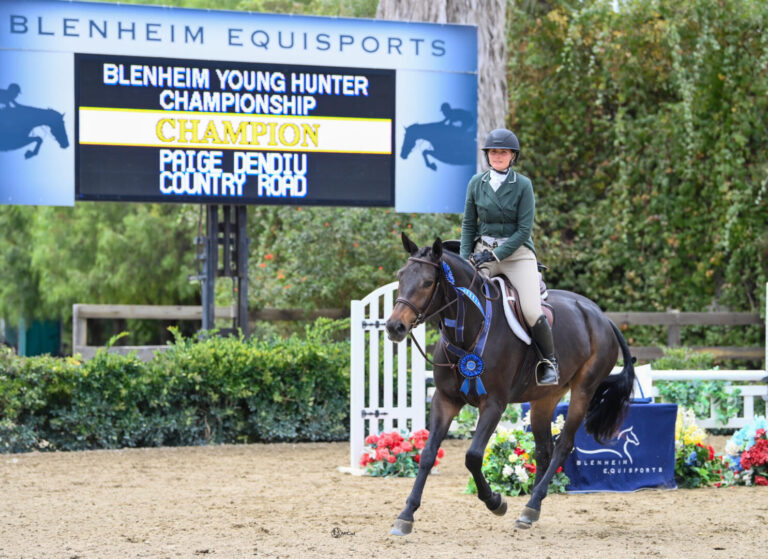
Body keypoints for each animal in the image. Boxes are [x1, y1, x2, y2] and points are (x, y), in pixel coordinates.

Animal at [384, 234, 636, 536]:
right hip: (544, 398)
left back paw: (532, 505)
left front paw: (495, 502)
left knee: (563, 446)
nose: (394, 327)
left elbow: (473, 456)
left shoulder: (494, 403)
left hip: (583, 391)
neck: (469, 328)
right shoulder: (445, 399)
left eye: (427, 282)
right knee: (544, 450)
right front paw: (406, 515)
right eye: (400, 276)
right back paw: (530, 511)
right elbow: (427, 454)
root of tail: (601, 316)